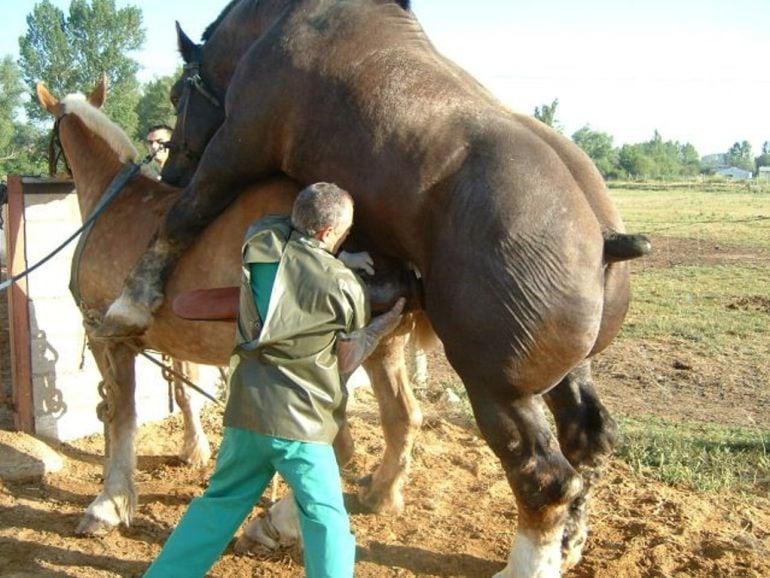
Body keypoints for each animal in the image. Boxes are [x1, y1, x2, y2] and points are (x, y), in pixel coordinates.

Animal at [97, 2, 648, 572]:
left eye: (177, 95)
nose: (171, 173)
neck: (281, 27)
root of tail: (604, 235)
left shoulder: (236, 146)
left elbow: (185, 217)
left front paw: (131, 302)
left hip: (498, 390)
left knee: (545, 478)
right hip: (569, 371)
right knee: (588, 440)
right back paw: (570, 543)